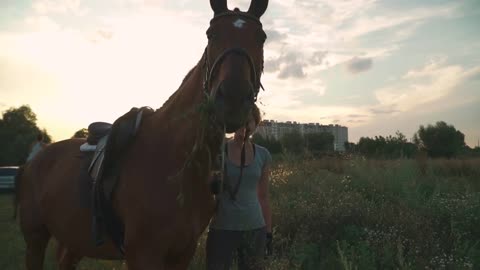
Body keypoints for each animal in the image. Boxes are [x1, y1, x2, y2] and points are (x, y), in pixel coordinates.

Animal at [14, 1, 270, 268]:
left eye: (261, 37)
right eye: (211, 35)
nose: (232, 99)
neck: (175, 161)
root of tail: (32, 163)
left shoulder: (183, 252)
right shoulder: (143, 254)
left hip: (73, 240)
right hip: (35, 239)